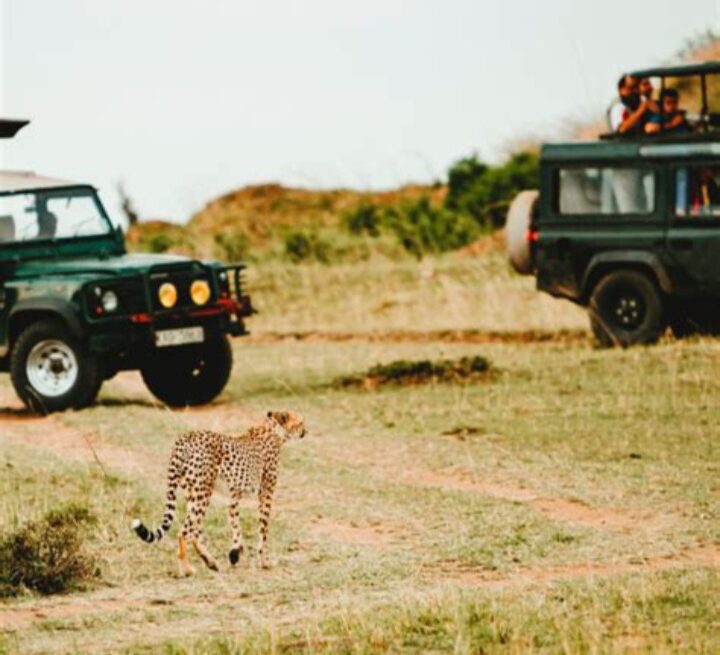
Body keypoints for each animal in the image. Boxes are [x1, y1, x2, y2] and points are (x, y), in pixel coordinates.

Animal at [134, 412, 306, 576]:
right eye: (300, 422)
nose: (306, 431)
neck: (274, 430)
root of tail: (183, 438)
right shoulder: (266, 494)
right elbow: (263, 530)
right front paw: (265, 562)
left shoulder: (234, 496)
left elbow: (235, 522)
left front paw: (235, 553)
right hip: (203, 492)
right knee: (184, 532)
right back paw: (187, 569)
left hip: (192, 492)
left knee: (195, 530)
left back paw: (210, 562)